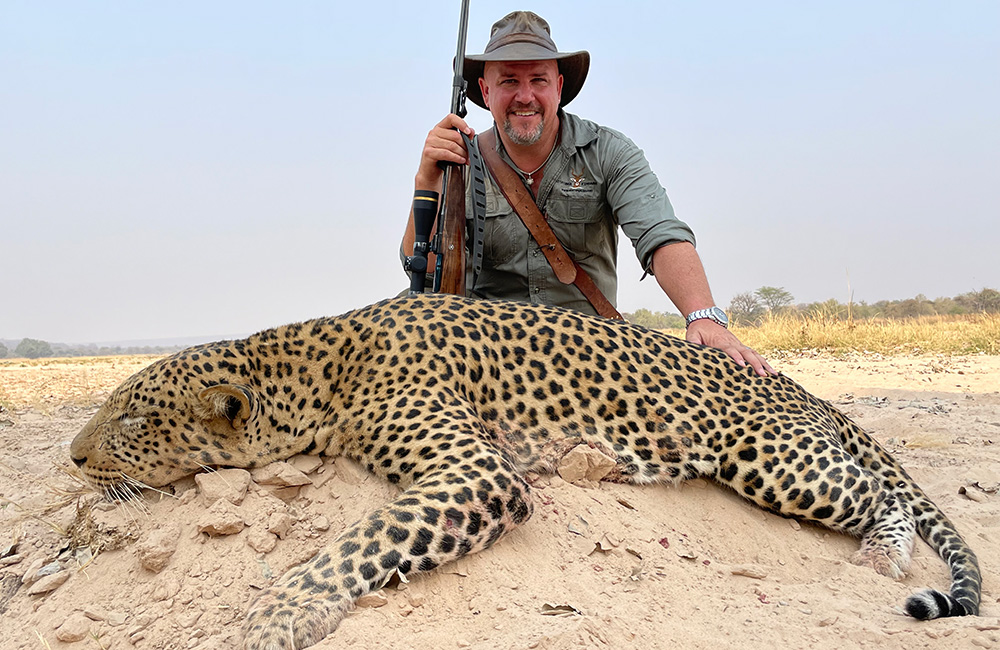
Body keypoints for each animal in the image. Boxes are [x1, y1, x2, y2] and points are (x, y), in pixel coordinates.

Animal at [72, 294, 984, 648]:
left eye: (130, 418)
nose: (73, 457)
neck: (312, 370)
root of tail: (797, 384)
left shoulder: (475, 470)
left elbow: (351, 549)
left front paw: (274, 620)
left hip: (771, 455)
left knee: (882, 493)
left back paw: (884, 554)